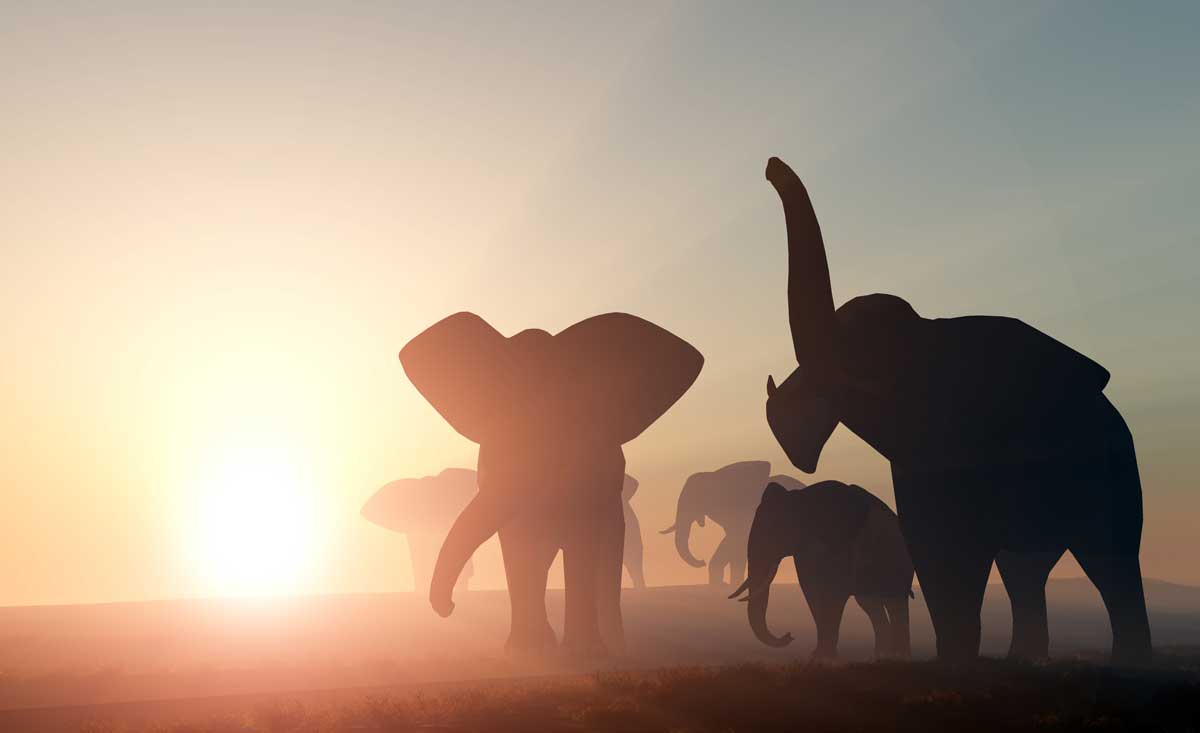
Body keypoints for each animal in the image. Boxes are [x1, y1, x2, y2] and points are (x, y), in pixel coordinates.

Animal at [399, 311, 702, 656]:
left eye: (563, 403)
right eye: (490, 402)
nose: (448, 608)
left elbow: (582, 538)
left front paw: (584, 655)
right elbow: (517, 539)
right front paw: (525, 652)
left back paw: (614, 647)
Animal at [660, 461, 806, 586]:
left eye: (695, 498)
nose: (702, 561)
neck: (714, 475)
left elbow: (736, 542)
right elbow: (732, 543)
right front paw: (722, 585)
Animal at [729, 480, 914, 661]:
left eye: (772, 531)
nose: (789, 636)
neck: (798, 498)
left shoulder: (840, 540)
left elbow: (835, 592)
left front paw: (824, 658)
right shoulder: (803, 552)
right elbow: (811, 591)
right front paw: (817, 657)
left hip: (899, 560)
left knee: (895, 601)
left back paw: (897, 657)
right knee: (870, 604)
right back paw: (879, 657)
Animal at [759, 156, 1152, 664]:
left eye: (874, 353)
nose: (771, 166)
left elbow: (956, 545)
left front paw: (957, 664)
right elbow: (931, 543)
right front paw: (953, 663)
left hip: (1111, 465)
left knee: (1109, 557)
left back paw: (1127, 665)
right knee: (1025, 571)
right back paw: (1024, 661)